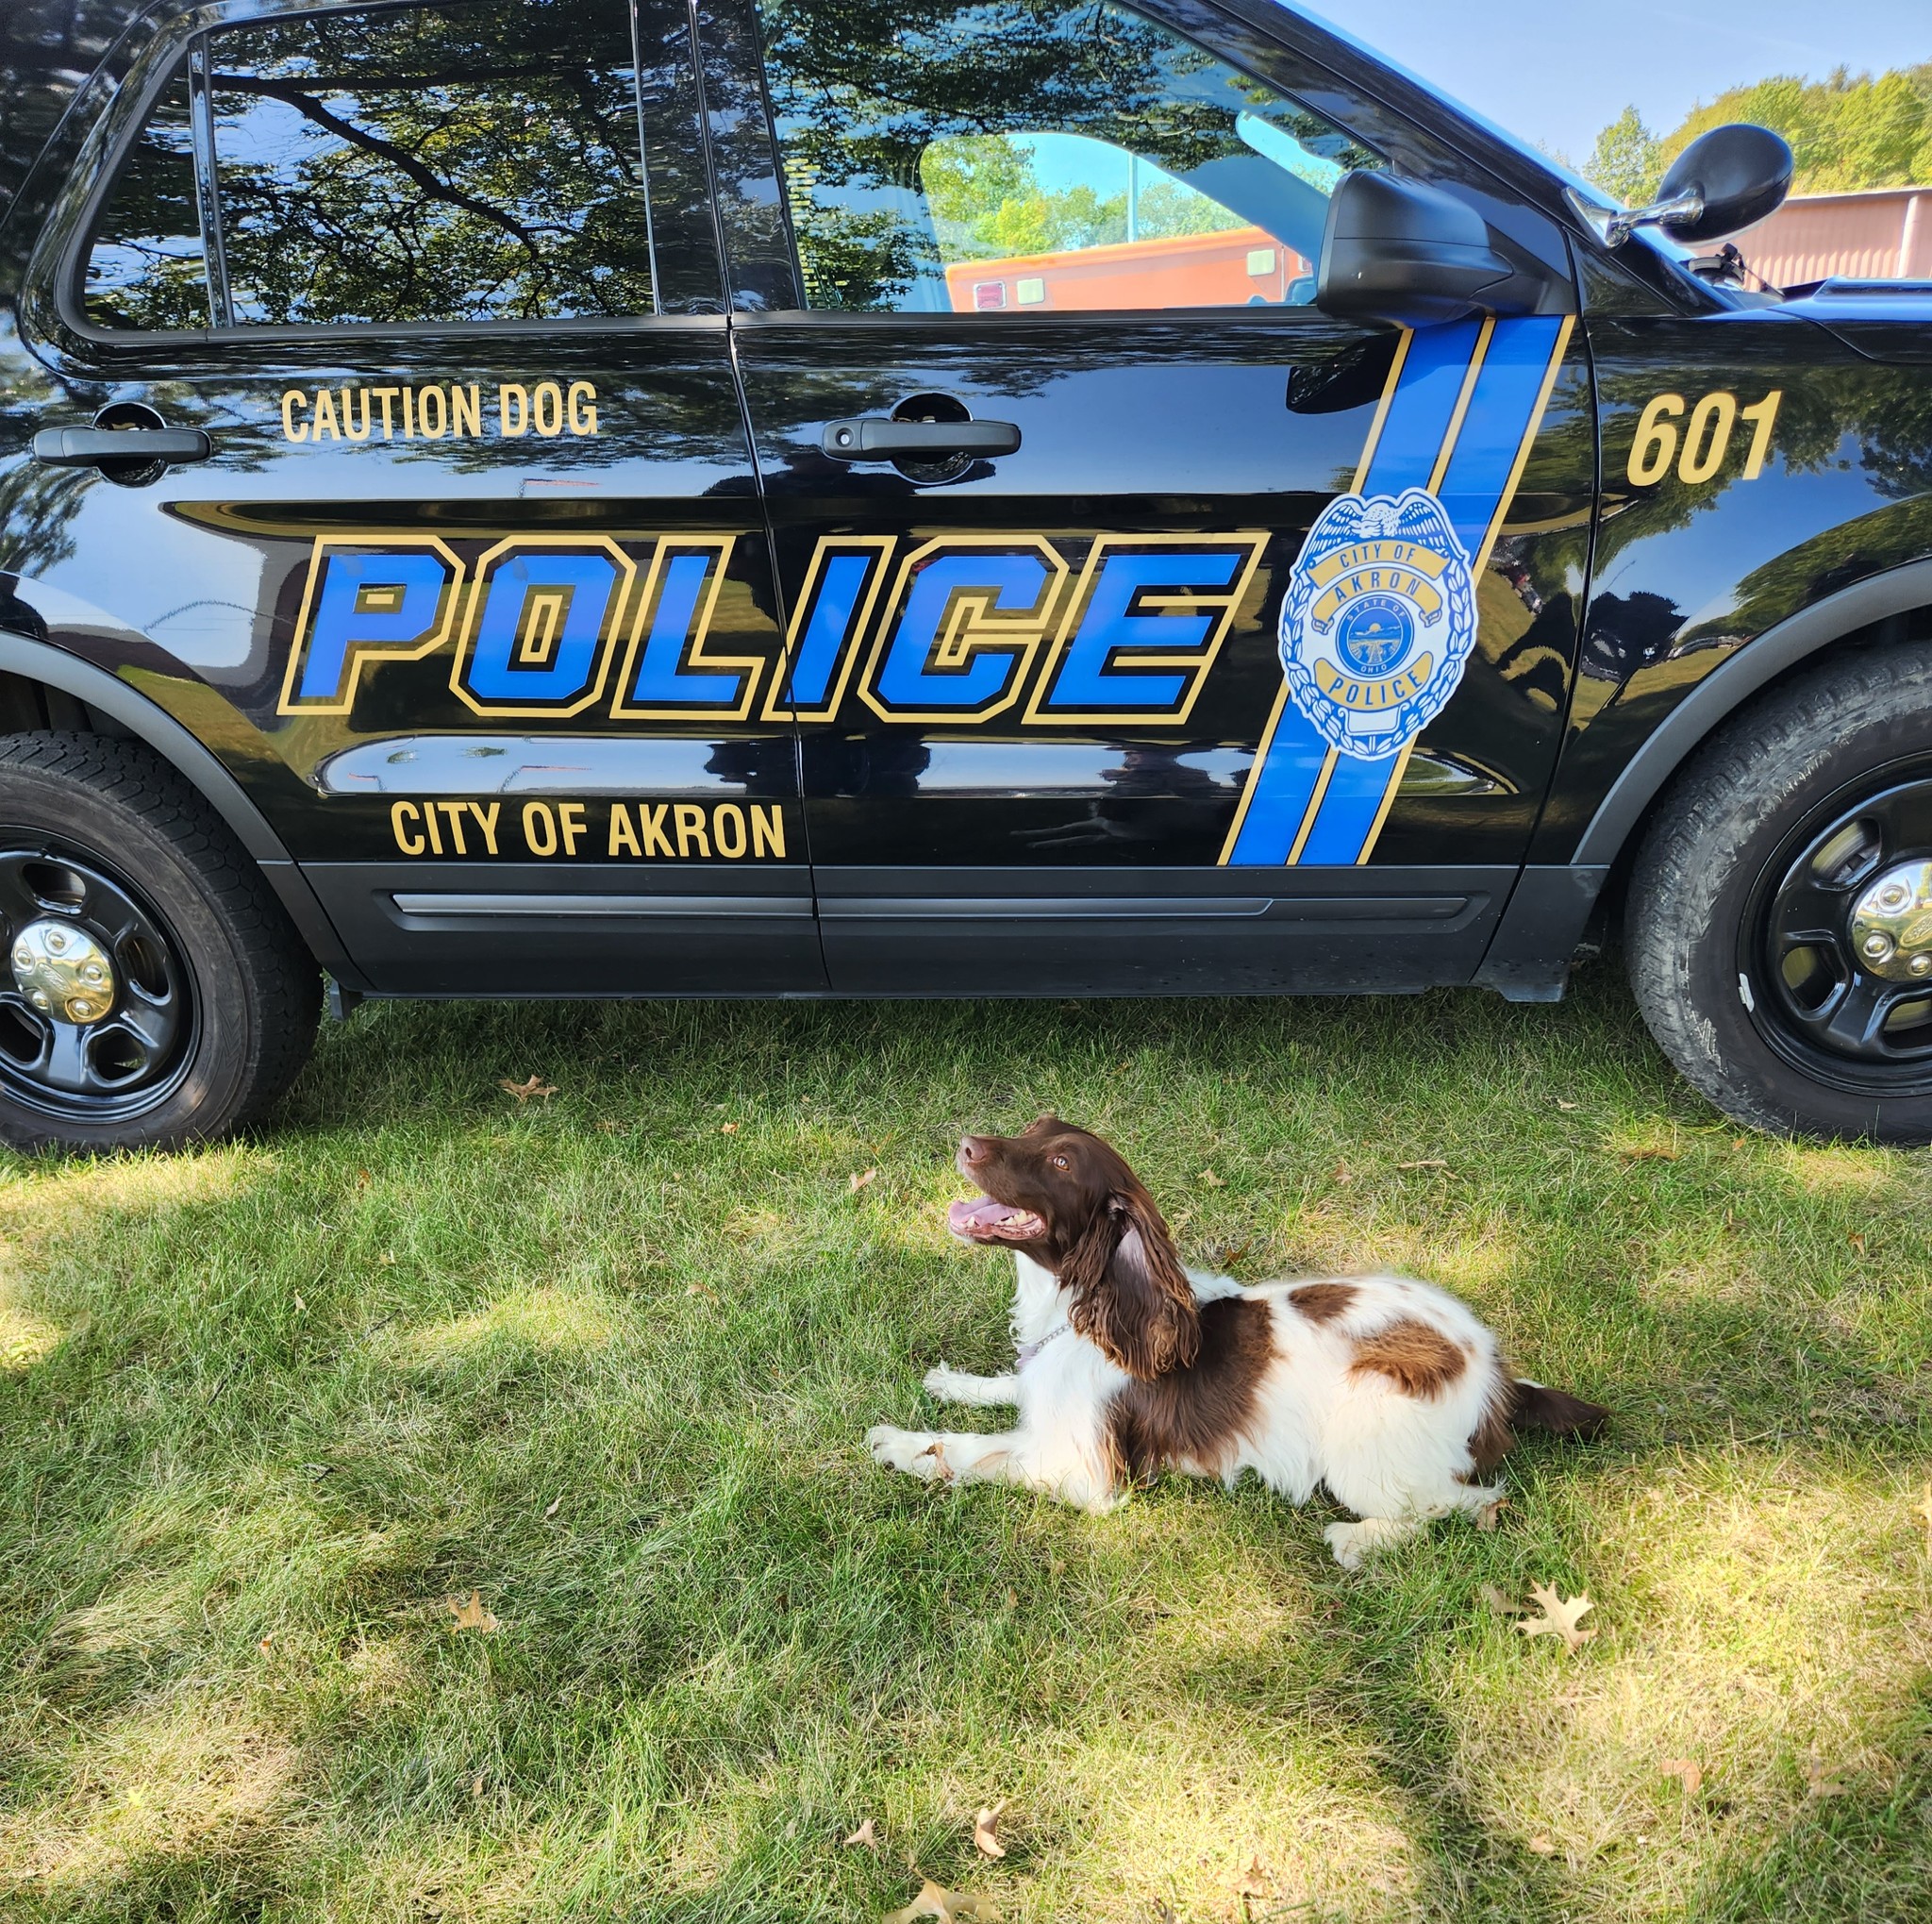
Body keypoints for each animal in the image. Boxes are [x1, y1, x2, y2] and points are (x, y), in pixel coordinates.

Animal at [869, 1113, 1607, 1561]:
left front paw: (898, 1443)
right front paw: (952, 1381)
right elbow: (1007, 1387)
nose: (965, 1145)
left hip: (1364, 1440)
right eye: (1031, 1129)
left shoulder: (1083, 1470)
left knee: (1470, 1499)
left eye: (1058, 1162)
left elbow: (970, 1449)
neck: (1084, 1310)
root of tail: (1497, 1379)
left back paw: (1359, 1540)